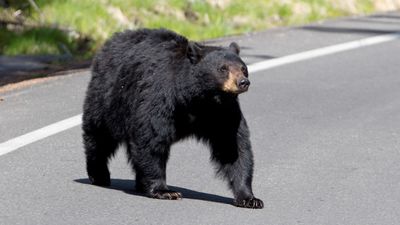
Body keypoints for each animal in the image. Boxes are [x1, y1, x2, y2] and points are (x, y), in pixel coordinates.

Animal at [83, 28, 264, 209]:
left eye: (243, 68)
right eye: (223, 68)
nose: (243, 82)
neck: (197, 99)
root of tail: (112, 40)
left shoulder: (223, 111)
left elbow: (232, 147)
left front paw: (249, 198)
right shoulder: (161, 97)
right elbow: (152, 138)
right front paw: (164, 191)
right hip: (109, 97)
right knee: (100, 135)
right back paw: (99, 175)